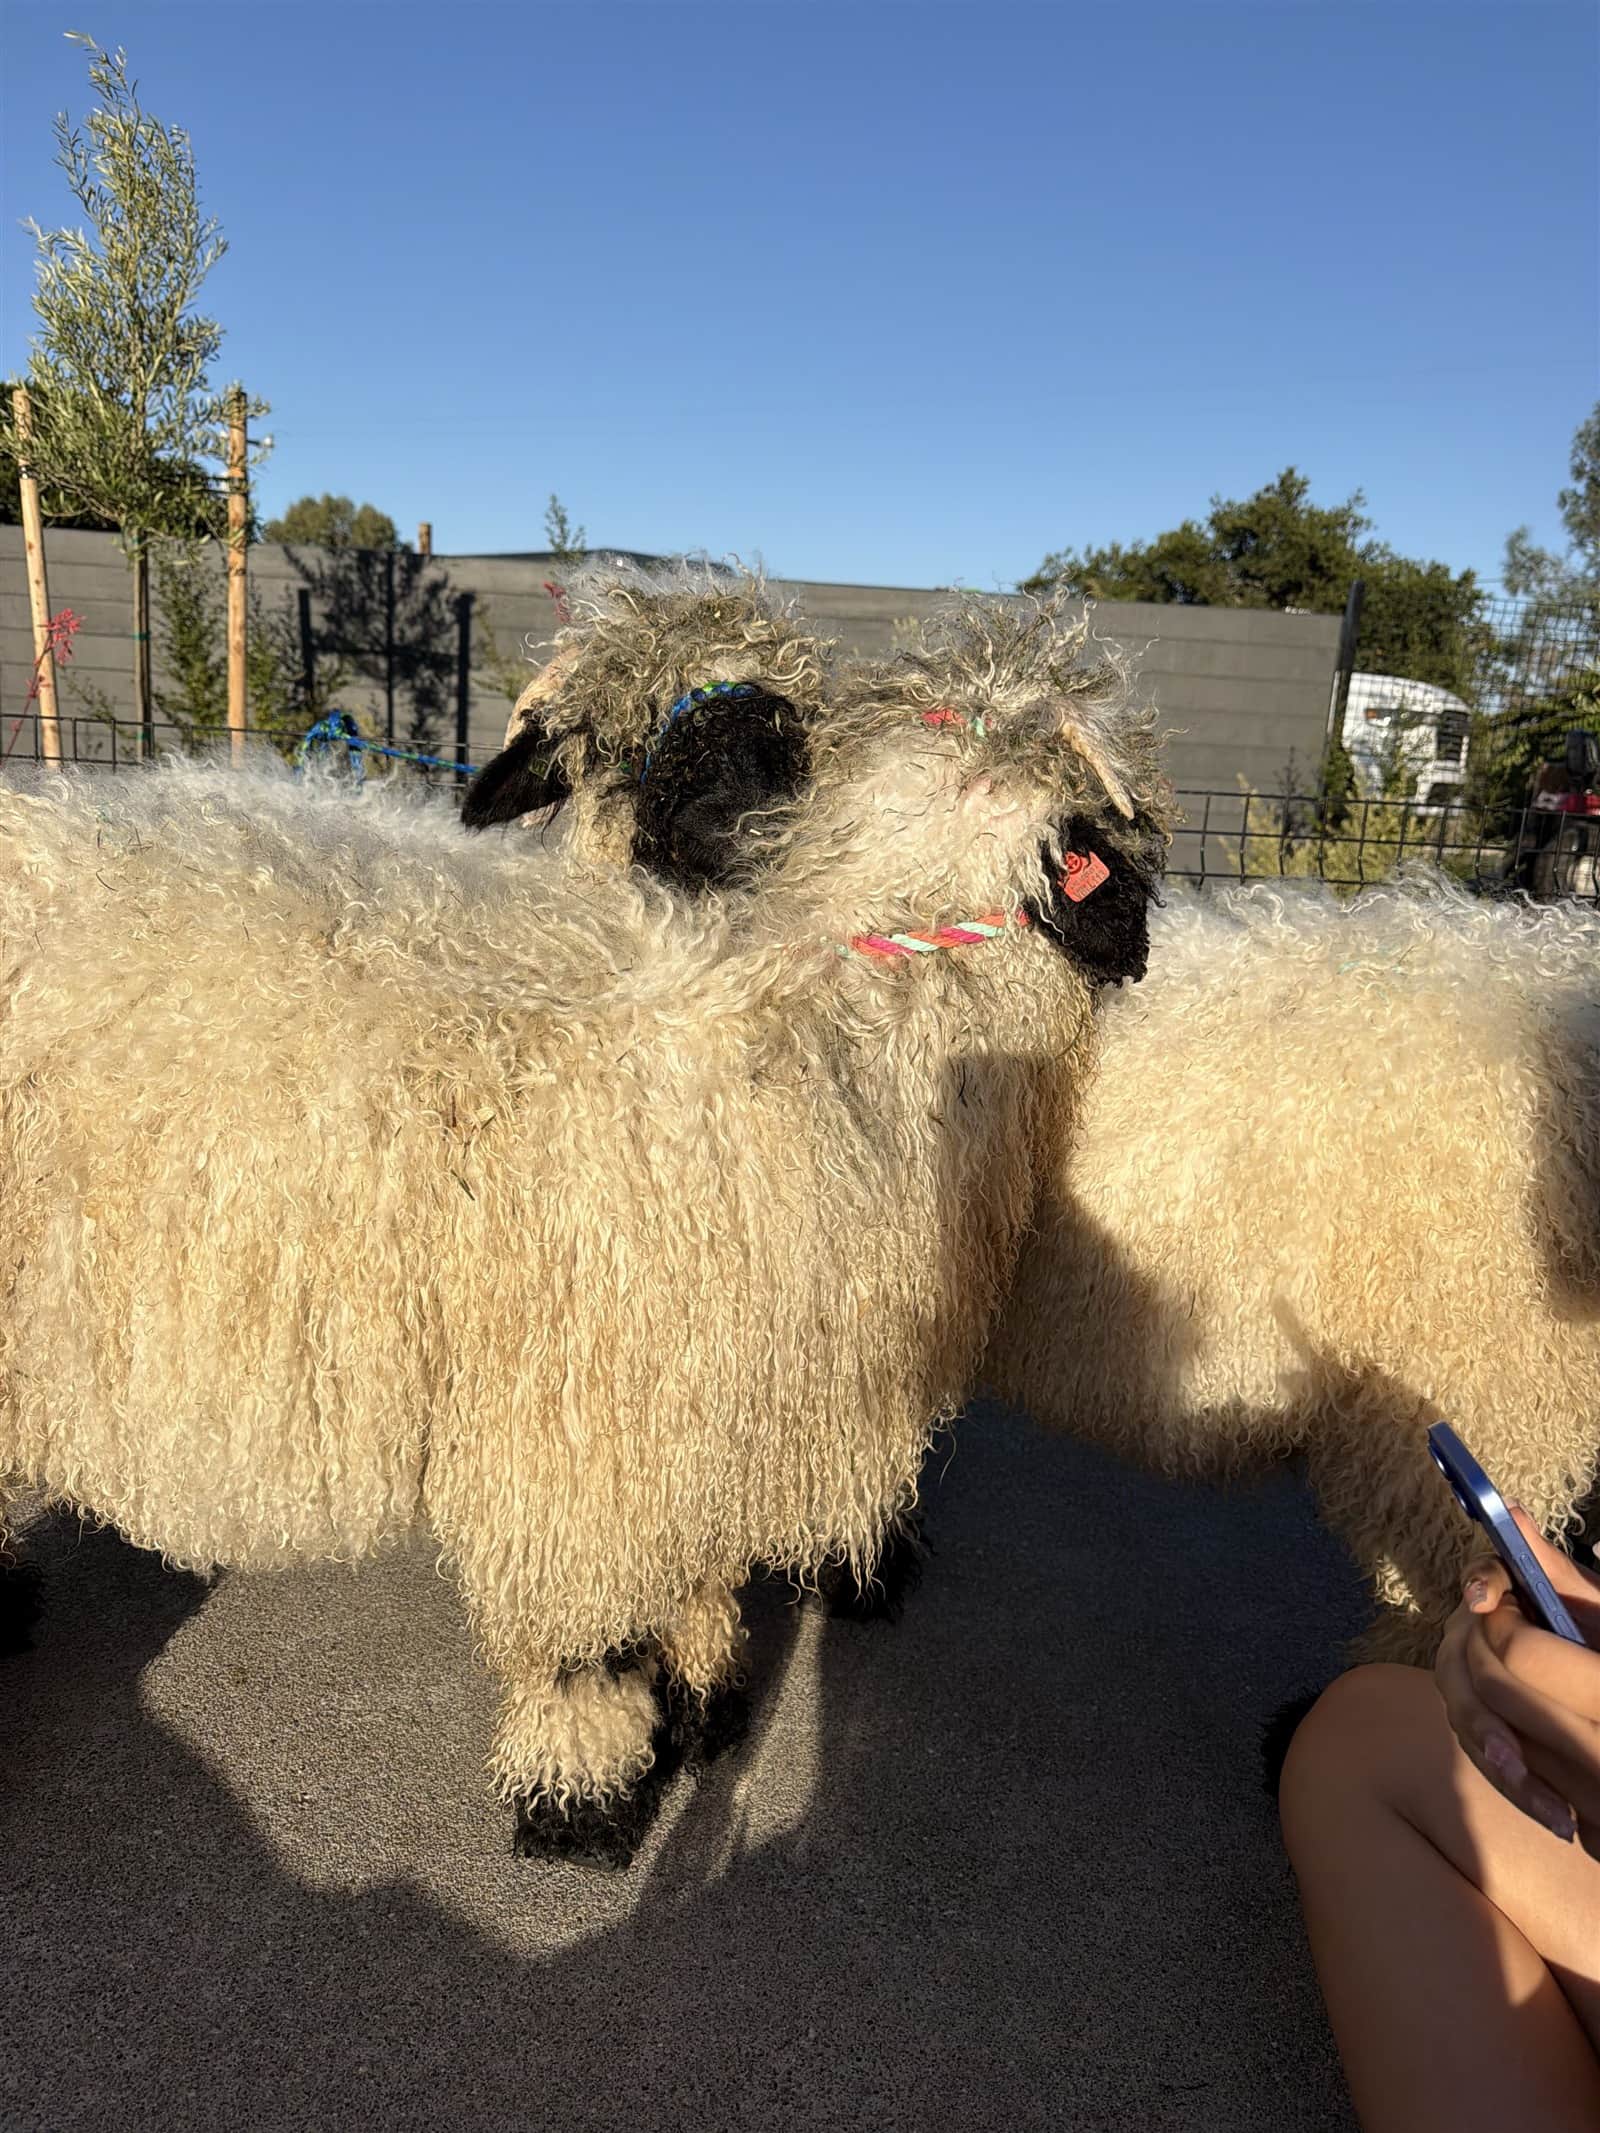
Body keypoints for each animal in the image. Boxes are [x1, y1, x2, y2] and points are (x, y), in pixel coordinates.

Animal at [0, 593, 1168, 1863]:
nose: (713, 828)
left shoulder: (716, 1393)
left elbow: (699, 1571)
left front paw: (706, 1699)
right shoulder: (583, 1410)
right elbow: (584, 1633)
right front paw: (584, 1792)